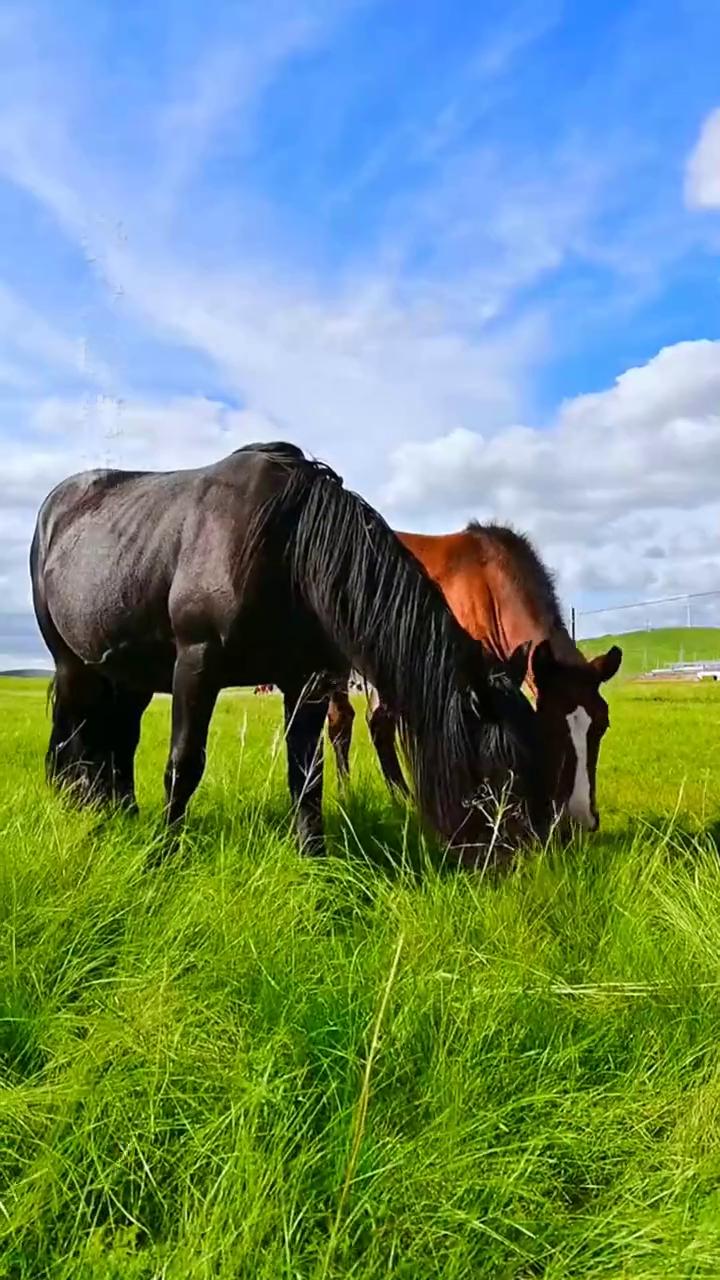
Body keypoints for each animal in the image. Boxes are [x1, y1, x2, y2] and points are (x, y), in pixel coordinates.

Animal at [29, 445, 548, 865]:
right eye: (497, 771)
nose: (523, 860)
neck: (289, 546)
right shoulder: (196, 664)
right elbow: (184, 764)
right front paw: (163, 855)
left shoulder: (308, 682)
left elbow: (307, 777)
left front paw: (315, 863)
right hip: (72, 663)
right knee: (72, 735)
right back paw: (77, 808)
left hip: (128, 676)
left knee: (118, 739)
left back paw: (122, 811)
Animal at [327, 519, 620, 829]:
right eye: (551, 727)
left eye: (603, 725)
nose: (581, 819)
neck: (488, 581)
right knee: (341, 722)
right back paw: (348, 796)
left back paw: (403, 802)